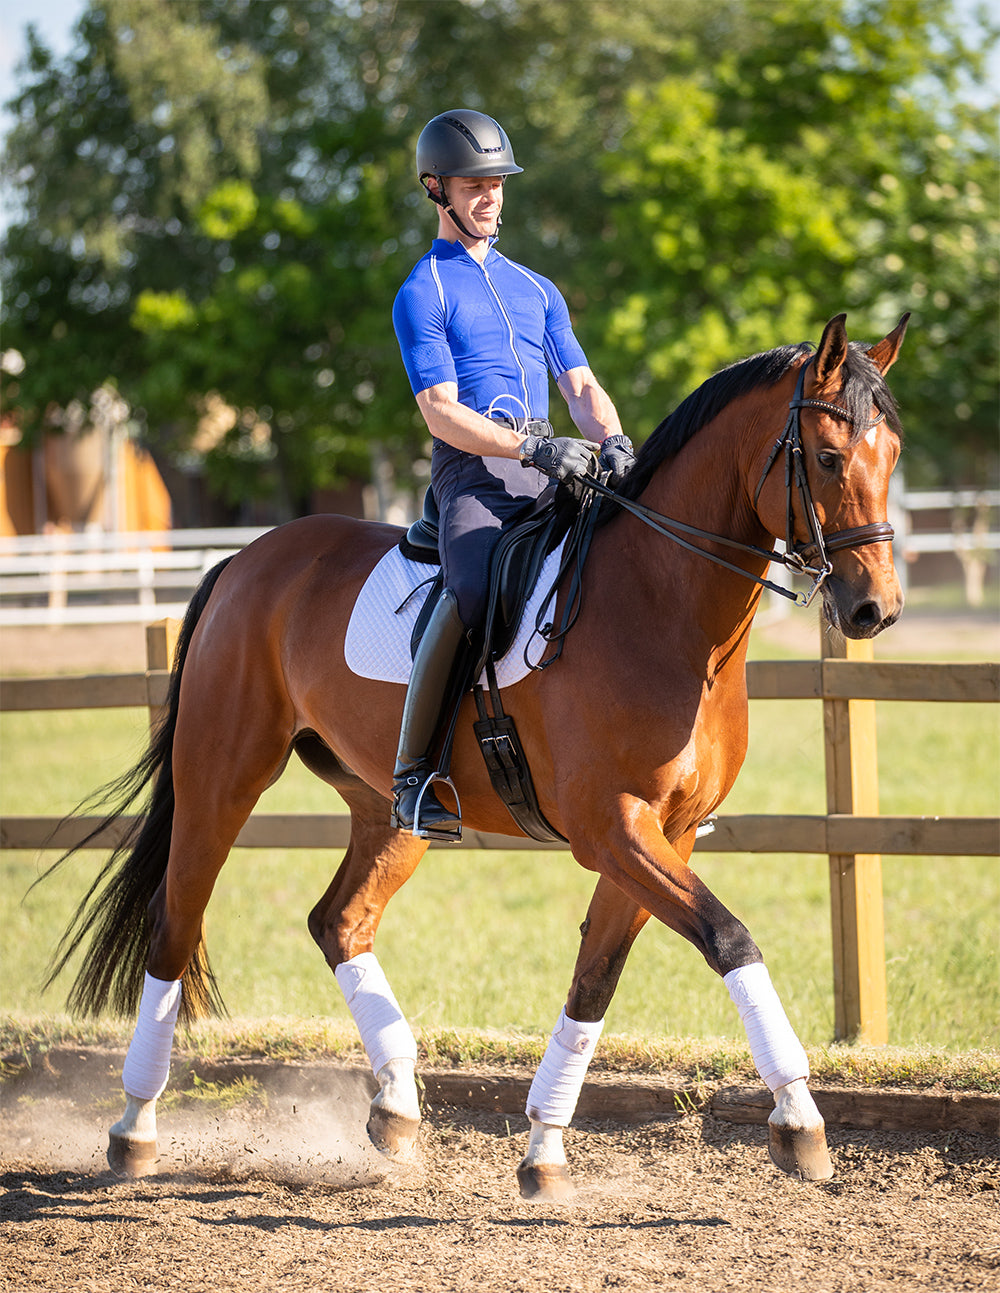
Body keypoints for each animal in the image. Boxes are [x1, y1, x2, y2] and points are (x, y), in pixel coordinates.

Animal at [43, 307, 910, 1194]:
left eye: (894, 455)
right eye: (830, 457)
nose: (875, 608)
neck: (663, 605)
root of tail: (247, 558)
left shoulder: (663, 834)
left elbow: (595, 980)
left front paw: (545, 1147)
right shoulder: (612, 827)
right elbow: (730, 937)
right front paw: (800, 1119)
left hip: (389, 809)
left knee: (339, 921)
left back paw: (395, 1107)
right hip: (221, 782)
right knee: (174, 927)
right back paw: (135, 1126)